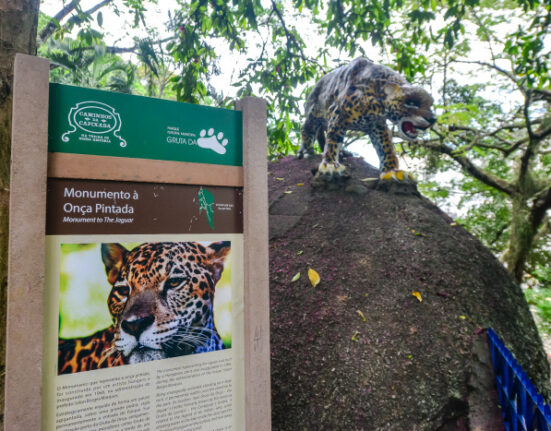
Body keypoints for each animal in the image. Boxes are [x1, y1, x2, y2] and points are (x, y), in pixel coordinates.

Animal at [298, 57, 436, 182]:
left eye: (430, 105)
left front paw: (392, 171)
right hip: (314, 113)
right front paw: (330, 165)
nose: (433, 119)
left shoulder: (378, 125)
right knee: (307, 128)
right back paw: (306, 151)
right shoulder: (338, 114)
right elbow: (333, 140)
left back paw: (343, 152)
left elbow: (386, 147)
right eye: (411, 103)